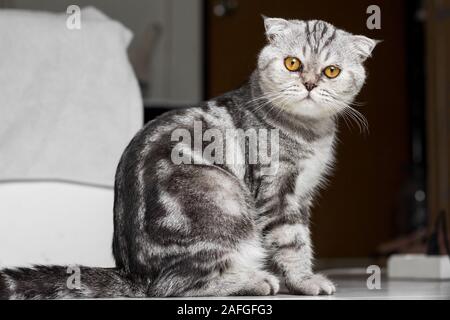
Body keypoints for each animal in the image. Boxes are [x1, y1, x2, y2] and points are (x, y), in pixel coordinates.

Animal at [0, 16, 376, 298]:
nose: (310, 83)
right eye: (292, 63)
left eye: (331, 71)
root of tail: (132, 273)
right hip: (225, 204)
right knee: (174, 285)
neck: (310, 132)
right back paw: (254, 280)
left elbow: (302, 240)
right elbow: (292, 242)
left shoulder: (302, 194)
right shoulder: (278, 195)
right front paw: (305, 281)